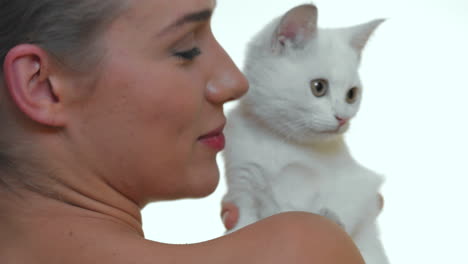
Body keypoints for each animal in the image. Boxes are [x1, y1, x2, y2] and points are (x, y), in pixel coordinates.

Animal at [222, 3, 388, 262]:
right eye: (318, 87)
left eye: (351, 94)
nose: (343, 117)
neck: (281, 142)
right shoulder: (242, 184)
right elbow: (245, 223)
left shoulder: (359, 183)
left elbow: (334, 211)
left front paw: (331, 218)